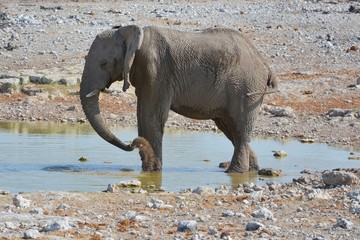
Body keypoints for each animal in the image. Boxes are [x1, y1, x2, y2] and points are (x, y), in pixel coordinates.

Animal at [80, 24, 278, 172]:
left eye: (103, 64)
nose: (134, 143)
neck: (132, 33)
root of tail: (266, 65)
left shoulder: (156, 72)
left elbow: (151, 117)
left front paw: (152, 171)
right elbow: (142, 116)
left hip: (246, 88)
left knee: (239, 129)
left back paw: (235, 172)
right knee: (230, 129)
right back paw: (251, 170)